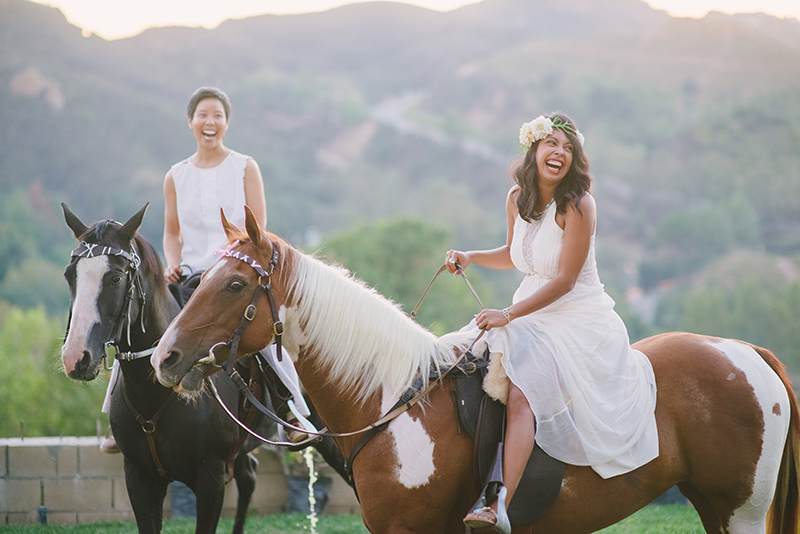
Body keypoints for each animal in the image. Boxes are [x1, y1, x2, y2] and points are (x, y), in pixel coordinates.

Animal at [57, 205, 274, 534]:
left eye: (116, 277)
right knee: (249, 477)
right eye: (70, 275)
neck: (155, 392)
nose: (76, 357)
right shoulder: (140, 479)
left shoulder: (211, 480)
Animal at [152, 208, 800, 534]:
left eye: (235, 284)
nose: (166, 357)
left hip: (741, 512)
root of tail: (749, 352)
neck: (394, 403)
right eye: (205, 277)